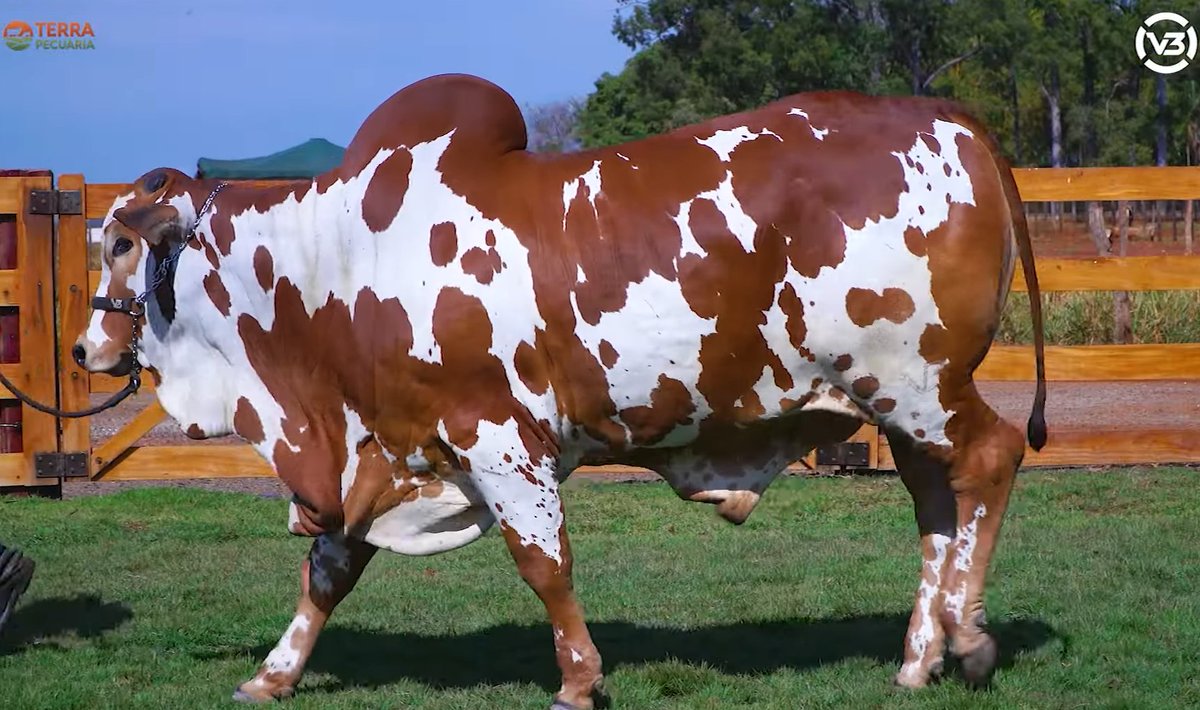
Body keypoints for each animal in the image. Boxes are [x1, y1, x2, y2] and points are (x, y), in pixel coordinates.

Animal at [73, 73, 1047, 708]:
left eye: (120, 242)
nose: (87, 346)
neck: (337, 265)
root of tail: (948, 115)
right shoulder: (382, 448)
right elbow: (328, 569)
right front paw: (273, 674)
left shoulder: (498, 439)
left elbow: (544, 563)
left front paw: (579, 679)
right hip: (901, 404)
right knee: (936, 504)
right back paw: (919, 658)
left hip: (916, 382)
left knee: (990, 461)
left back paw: (968, 637)